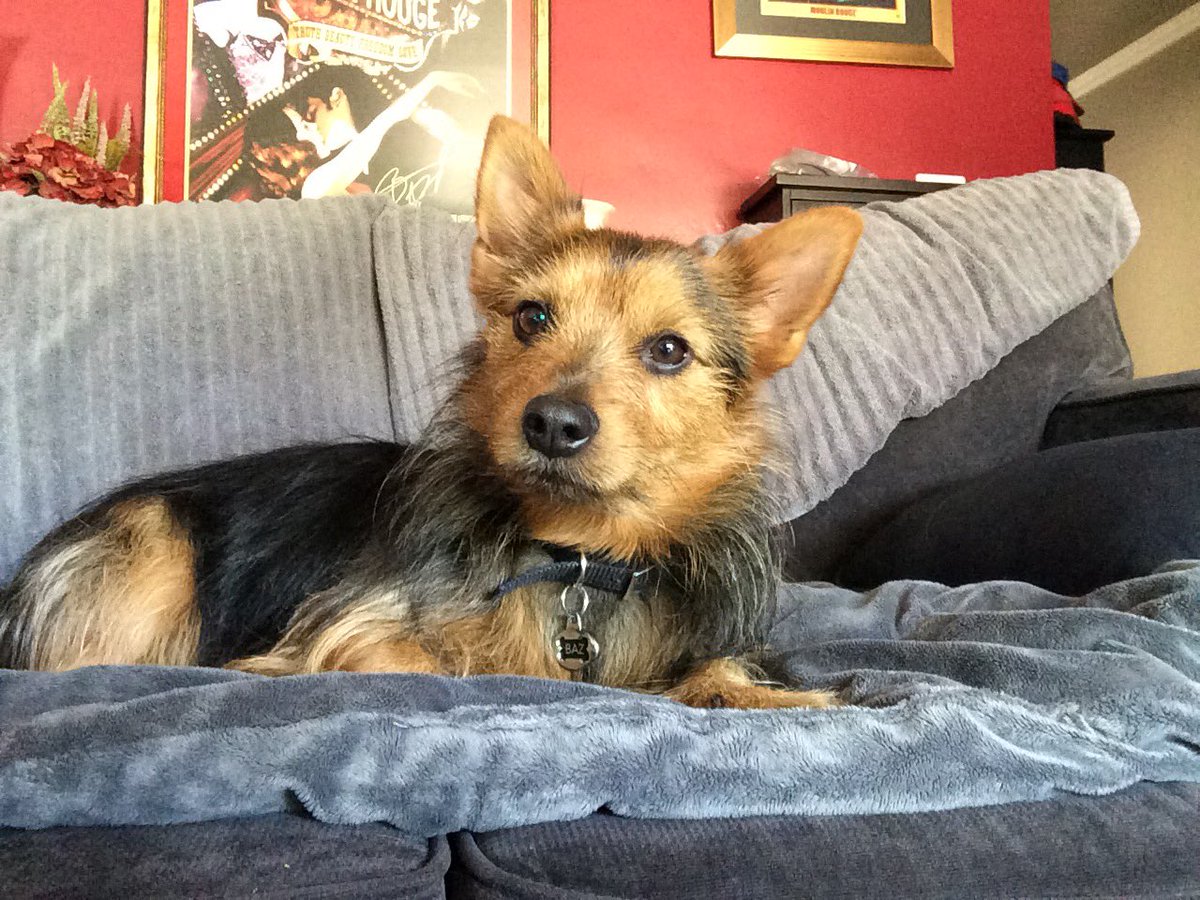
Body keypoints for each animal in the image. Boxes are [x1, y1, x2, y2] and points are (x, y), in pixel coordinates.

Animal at [0, 116, 861, 709]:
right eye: (532, 318)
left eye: (670, 351)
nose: (552, 423)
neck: (579, 554)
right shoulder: (352, 634)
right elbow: (463, 659)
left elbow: (720, 666)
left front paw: (765, 694)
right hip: (150, 548)